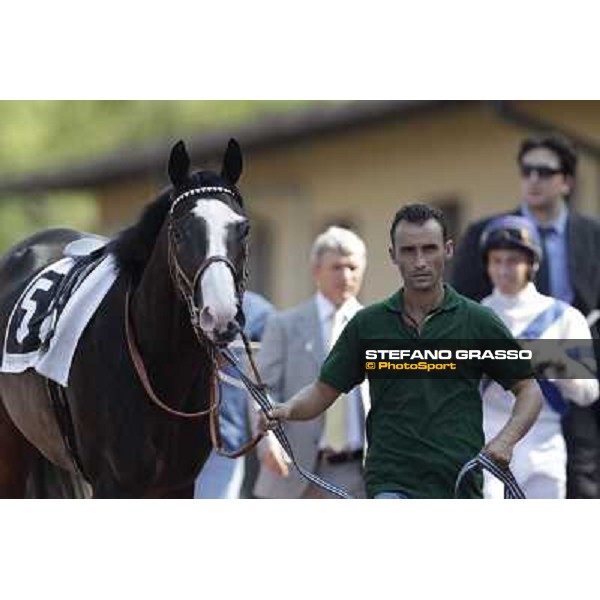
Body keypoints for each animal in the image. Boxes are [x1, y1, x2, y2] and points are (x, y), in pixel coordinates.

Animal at [0, 139, 250, 496]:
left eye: (244, 229)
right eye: (178, 232)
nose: (221, 314)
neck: (162, 370)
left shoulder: (179, 483)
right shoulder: (112, 483)